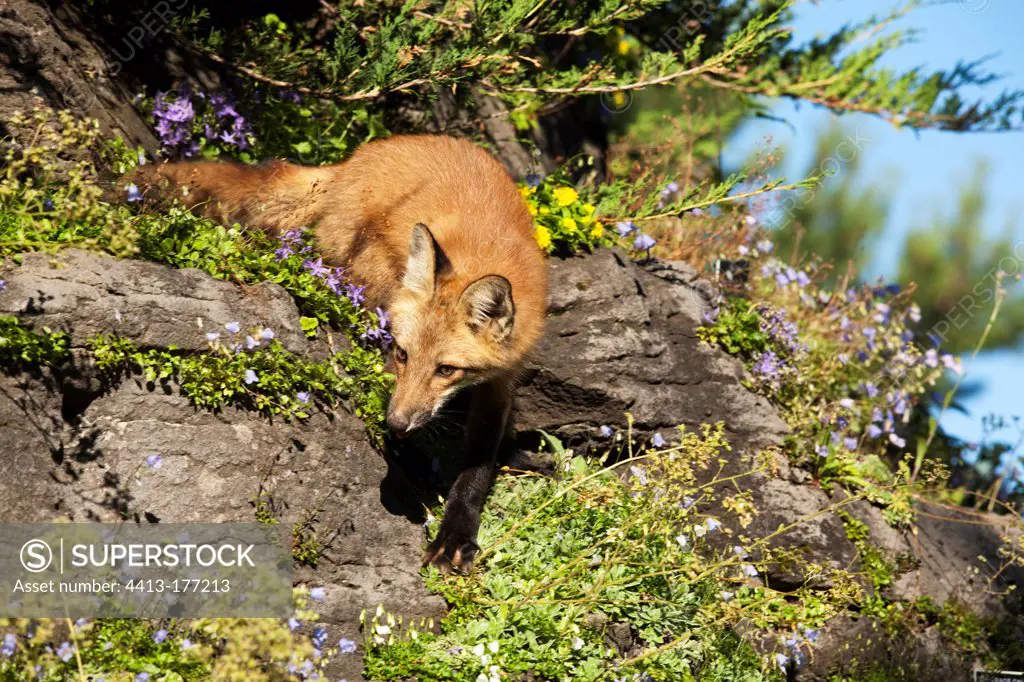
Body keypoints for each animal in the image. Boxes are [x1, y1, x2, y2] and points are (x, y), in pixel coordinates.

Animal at [126, 135, 548, 569]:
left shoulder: (504, 376)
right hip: (365, 280)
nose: (397, 423)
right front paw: (411, 471)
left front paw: (457, 531)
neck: (484, 247)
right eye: (403, 355)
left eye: (446, 370)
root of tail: (361, 155)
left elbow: (478, 464)